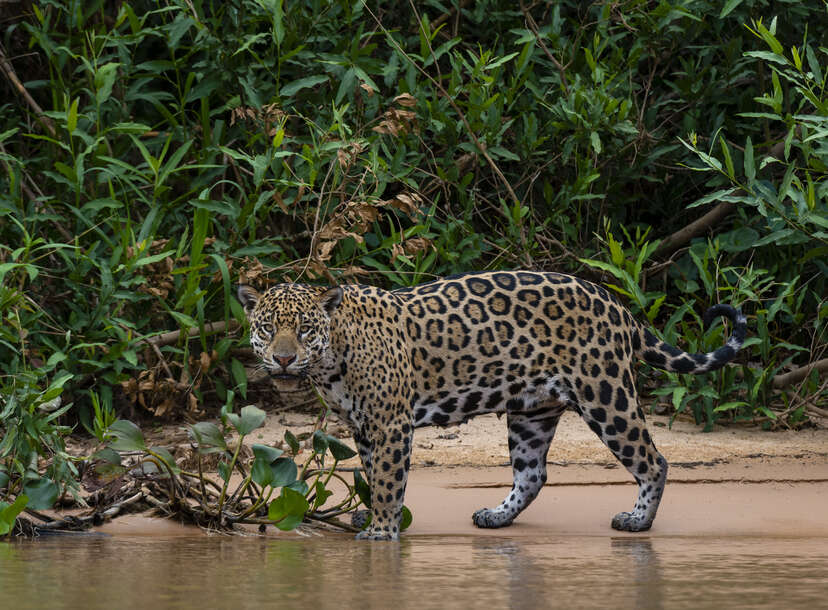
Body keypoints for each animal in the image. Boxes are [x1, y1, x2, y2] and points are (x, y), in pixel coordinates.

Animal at [237, 271, 746, 541]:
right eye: (267, 328)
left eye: (304, 329)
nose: (283, 359)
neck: (333, 357)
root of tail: (616, 305)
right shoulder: (365, 428)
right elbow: (375, 475)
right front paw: (376, 516)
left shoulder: (391, 423)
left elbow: (387, 480)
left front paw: (381, 530)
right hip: (532, 412)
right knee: (533, 473)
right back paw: (496, 516)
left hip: (607, 395)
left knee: (653, 460)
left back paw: (638, 520)